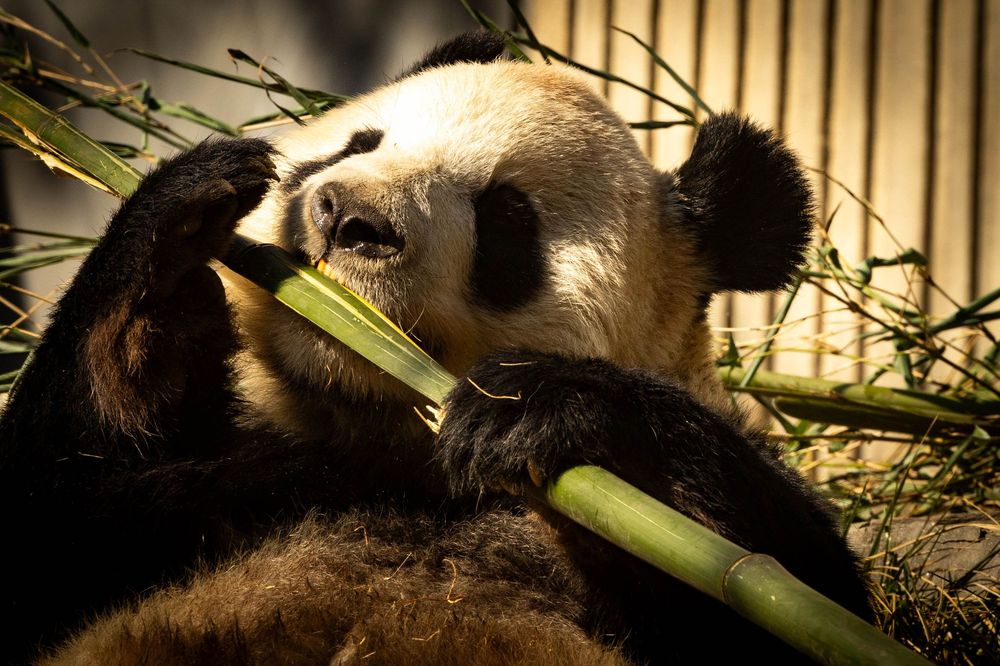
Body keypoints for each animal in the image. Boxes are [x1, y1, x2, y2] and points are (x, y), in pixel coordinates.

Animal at [1, 31, 872, 664]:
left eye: (507, 217)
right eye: (357, 143)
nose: (348, 218)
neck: (375, 441)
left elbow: (776, 585)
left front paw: (534, 407)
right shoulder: (227, 484)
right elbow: (58, 524)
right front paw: (170, 252)